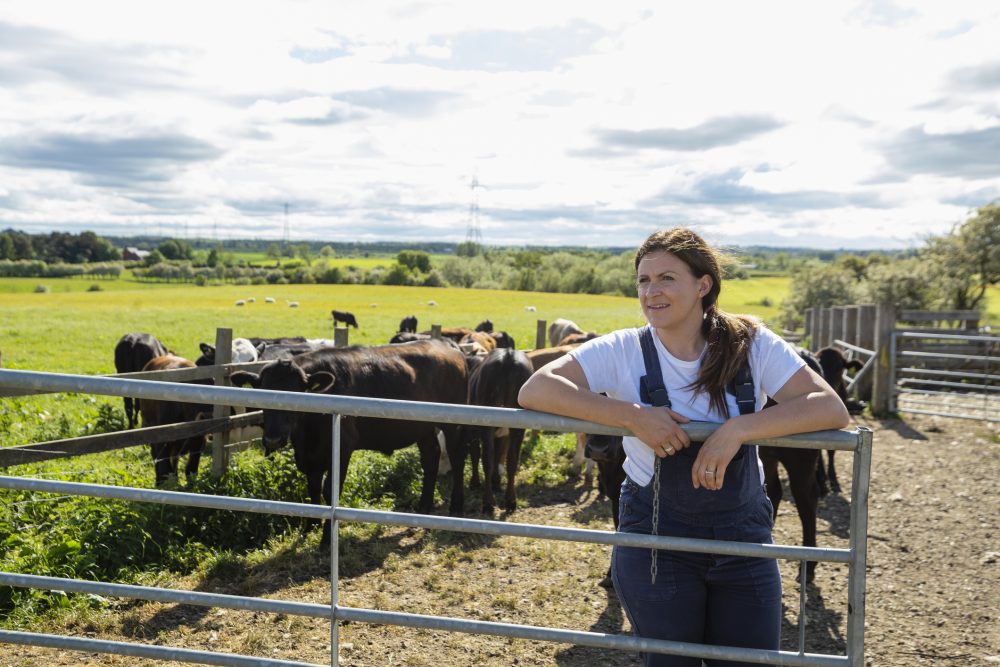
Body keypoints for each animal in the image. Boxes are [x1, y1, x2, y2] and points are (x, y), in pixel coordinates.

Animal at [232, 340, 470, 548]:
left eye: (296, 394)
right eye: (261, 393)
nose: (273, 439)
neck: (306, 434)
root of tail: (447, 345)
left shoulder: (342, 447)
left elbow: (330, 491)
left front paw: (326, 540)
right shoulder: (310, 456)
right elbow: (313, 489)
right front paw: (310, 527)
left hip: (453, 424)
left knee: (457, 456)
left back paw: (456, 507)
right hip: (423, 428)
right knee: (431, 458)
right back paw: (423, 508)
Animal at [464, 348, 536, 516]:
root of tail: (508, 354)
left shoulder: (472, 429)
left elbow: (476, 453)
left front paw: (475, 482)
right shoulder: (505, 434)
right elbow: (500, 454)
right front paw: (496, 481)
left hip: (487, 423)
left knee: (487, 457)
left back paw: (488, 503)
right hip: (517, 426)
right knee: (512, 459)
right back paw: (510, 501)